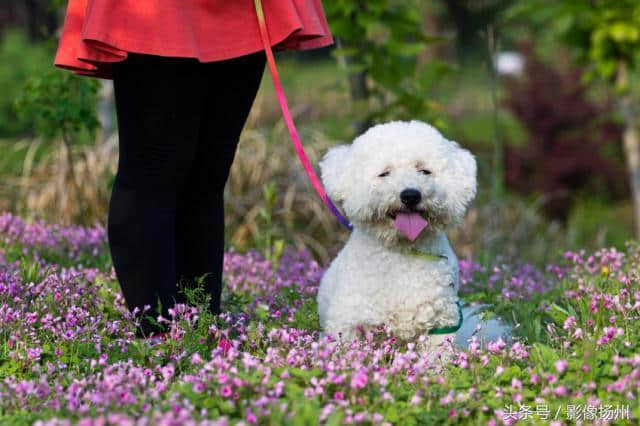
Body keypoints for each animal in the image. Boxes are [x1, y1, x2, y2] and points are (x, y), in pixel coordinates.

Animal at [318, 121, 478, 358]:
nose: (410, 195)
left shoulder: (441, 322)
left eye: (424, 170)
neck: (403, 251)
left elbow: (436, 358)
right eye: (384, 173)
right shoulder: (348, 321)